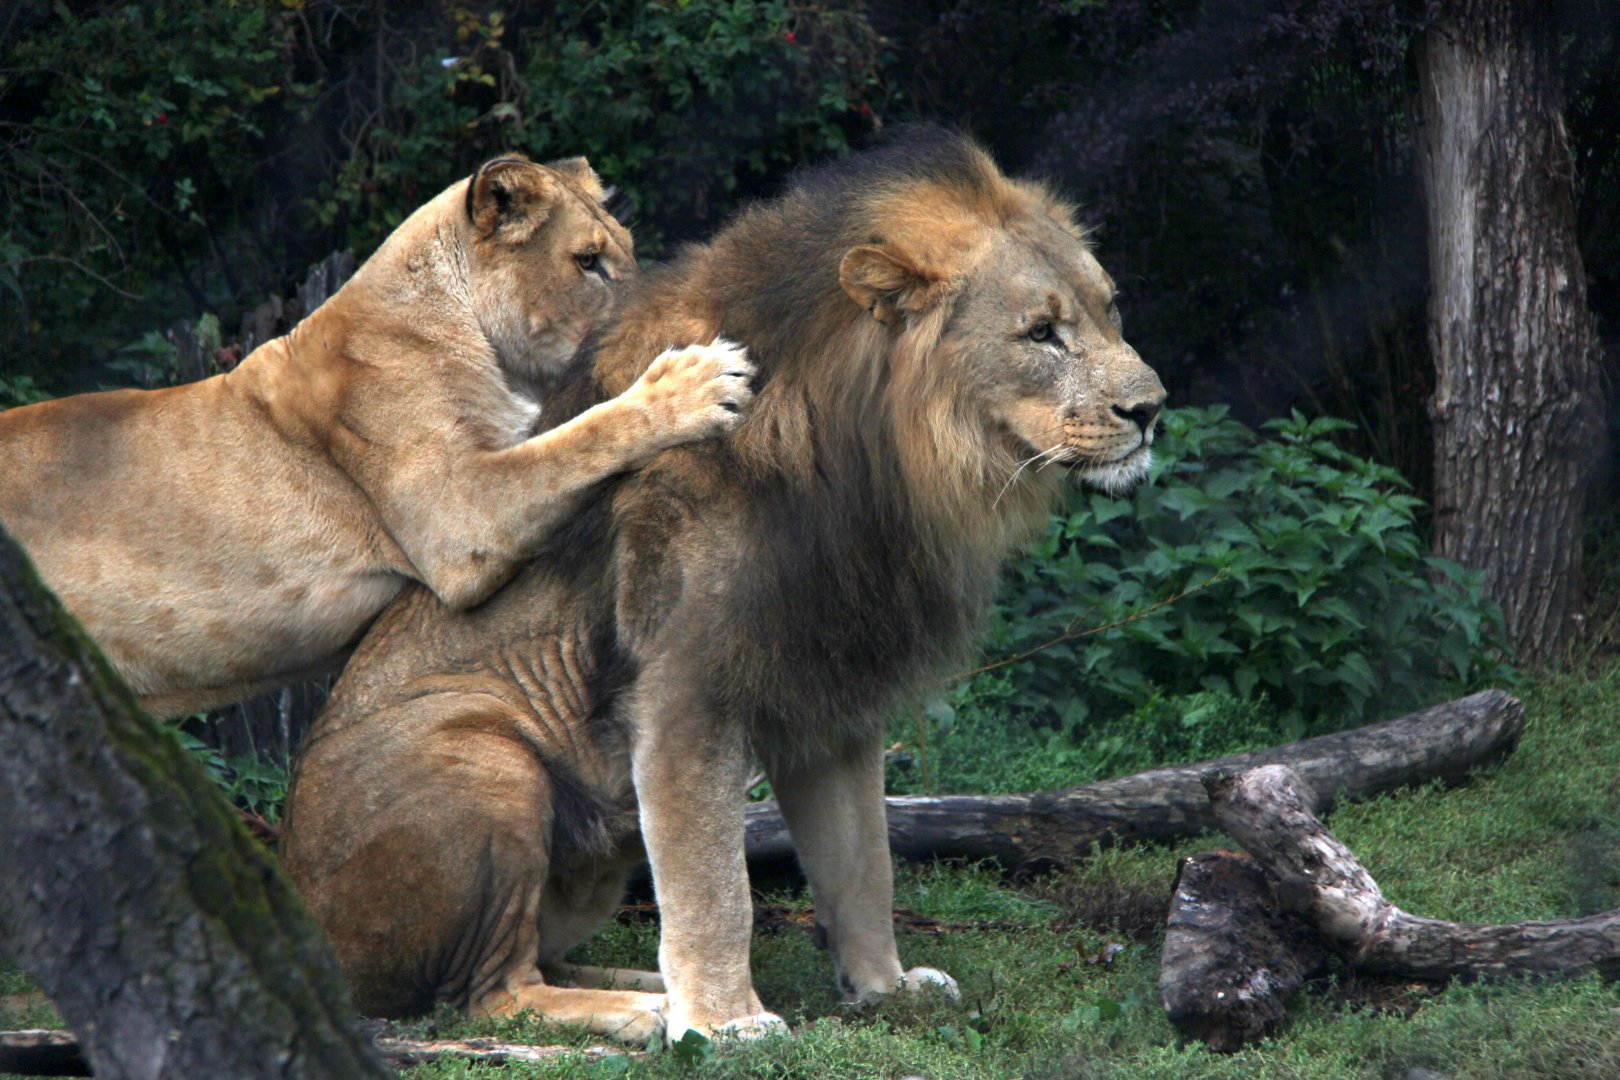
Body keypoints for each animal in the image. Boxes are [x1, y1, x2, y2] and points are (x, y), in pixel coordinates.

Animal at [0, 155, 753, 717]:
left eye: (624, 250)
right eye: (588, 261)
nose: (657, 301)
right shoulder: (459, 520)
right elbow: (578, 441)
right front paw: (692, 385)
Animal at [279, 128, 1166, 1044]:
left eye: (1111, 309)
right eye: (1041, 333)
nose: (1152, 410)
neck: (875, 469)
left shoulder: (833, 690)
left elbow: (864, 860)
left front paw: (884, 987)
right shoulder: (685, 688)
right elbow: (712, 878)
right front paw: (728, 1021)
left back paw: (650, 990)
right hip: (485, 754)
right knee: (492, 991)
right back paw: (648, 1012)